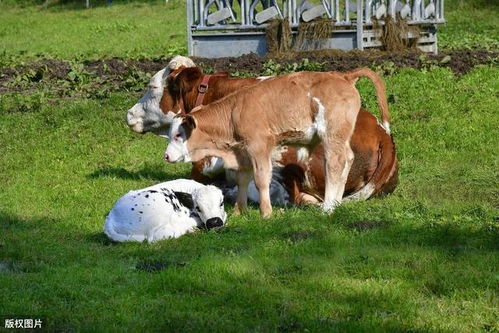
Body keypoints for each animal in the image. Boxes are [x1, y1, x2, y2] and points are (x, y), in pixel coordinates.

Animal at [165, 68, 390, 217]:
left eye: (178, 134)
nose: (166, 156)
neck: (234, 112)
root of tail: (343, 75)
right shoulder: (243, 152)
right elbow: (242, 179)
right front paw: (239, 211)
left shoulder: (259, 147)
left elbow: (261, 179)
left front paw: (266, 213)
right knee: (347, 160)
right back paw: (335, 203)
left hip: (331, 135)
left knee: (335, 164)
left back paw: (327, 207)